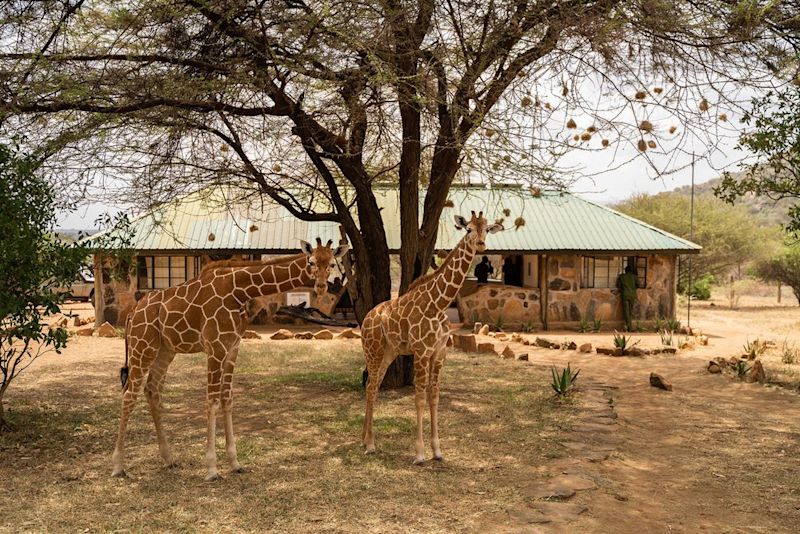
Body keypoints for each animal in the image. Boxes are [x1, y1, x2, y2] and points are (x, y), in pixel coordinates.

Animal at [111, 239, 348, 482]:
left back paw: (168, 459)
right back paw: (118, 466)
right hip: (142, 346)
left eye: (331, 263)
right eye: (311, 262)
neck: (239, 290)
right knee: (129, 394)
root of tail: (132, 313)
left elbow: (228, 400)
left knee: (152, 389)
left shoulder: (233, 348)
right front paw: (212, 469)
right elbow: (212, 401)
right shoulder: (215, 348)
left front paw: (235, 463)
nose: (321, 286)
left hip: (165, 350)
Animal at [360, 213, 504, 464]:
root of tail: (366, 318)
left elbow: (434, 397)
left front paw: (437, 451)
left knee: (373, 385)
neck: (439, 304)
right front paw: (419, 453)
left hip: (389, 352)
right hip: (373, 350)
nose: (480, 245)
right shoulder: (421, 352)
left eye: (486, 229)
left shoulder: (439, 353)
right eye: (468, 229)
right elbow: (419, 397)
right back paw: (370, 444)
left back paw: (365, 440)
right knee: (370, 387)